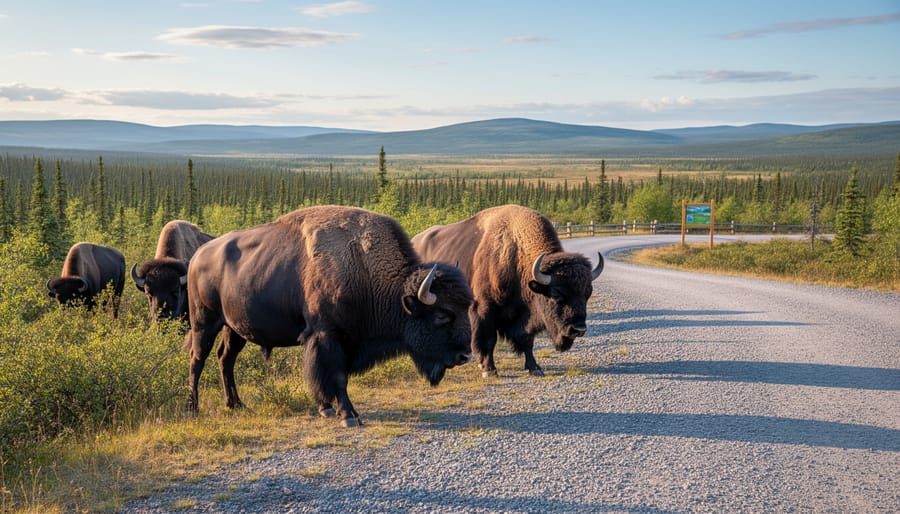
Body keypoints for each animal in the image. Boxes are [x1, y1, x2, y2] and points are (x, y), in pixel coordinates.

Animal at [184, 206, 474, 427]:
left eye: (465, 308)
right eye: (442, 315)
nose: (465, 356)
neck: (362, 267)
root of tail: (198, 256)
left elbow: (330, 377)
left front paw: (327, 408)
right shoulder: (327, 336)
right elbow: (336, 376)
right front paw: (348, 415)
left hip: (234, 328)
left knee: (225, 359)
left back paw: (236, 404)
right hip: (204, 322)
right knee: (198, 360)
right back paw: (193, 409)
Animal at [412, 204, 603, 377]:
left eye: (587, 295)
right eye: (556, 294)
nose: (579, 329)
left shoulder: (524, 316)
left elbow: (527, 341)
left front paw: (535, 368)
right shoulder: (484, 310)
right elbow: (489, 340)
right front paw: (488, 369)